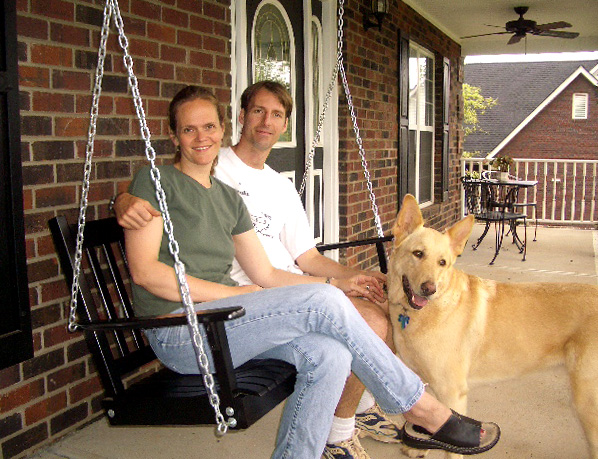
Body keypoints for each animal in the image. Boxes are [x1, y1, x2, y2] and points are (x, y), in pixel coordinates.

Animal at [388, 194, 598, 458]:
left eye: (442, 262)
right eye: (417, 253)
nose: (429, 289)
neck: (421, 313)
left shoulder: (451, 392)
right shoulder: (419, 381)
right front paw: (418, 445)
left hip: (587, 401)